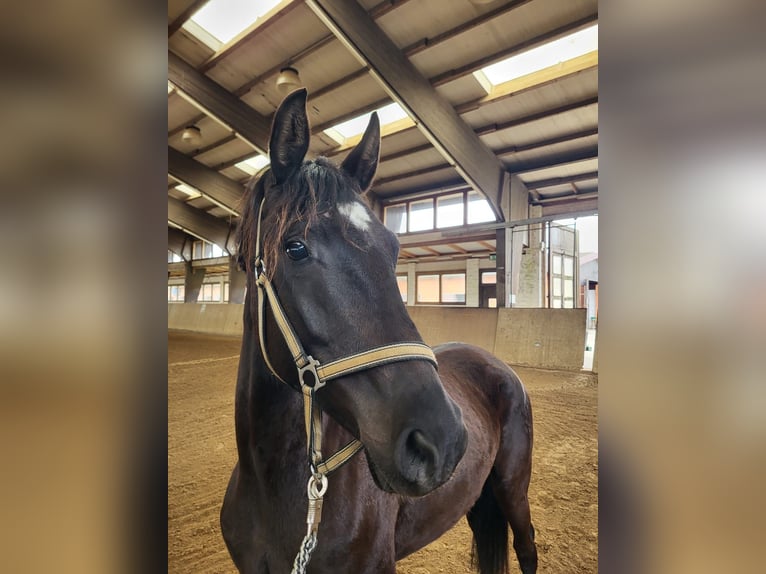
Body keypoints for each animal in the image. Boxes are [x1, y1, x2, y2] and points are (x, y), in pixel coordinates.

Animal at [220, 88, 537, 574]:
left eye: (393, 249)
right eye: (295, 247)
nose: (440, 439)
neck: (272, 487)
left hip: (512, 490)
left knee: (527, 548)